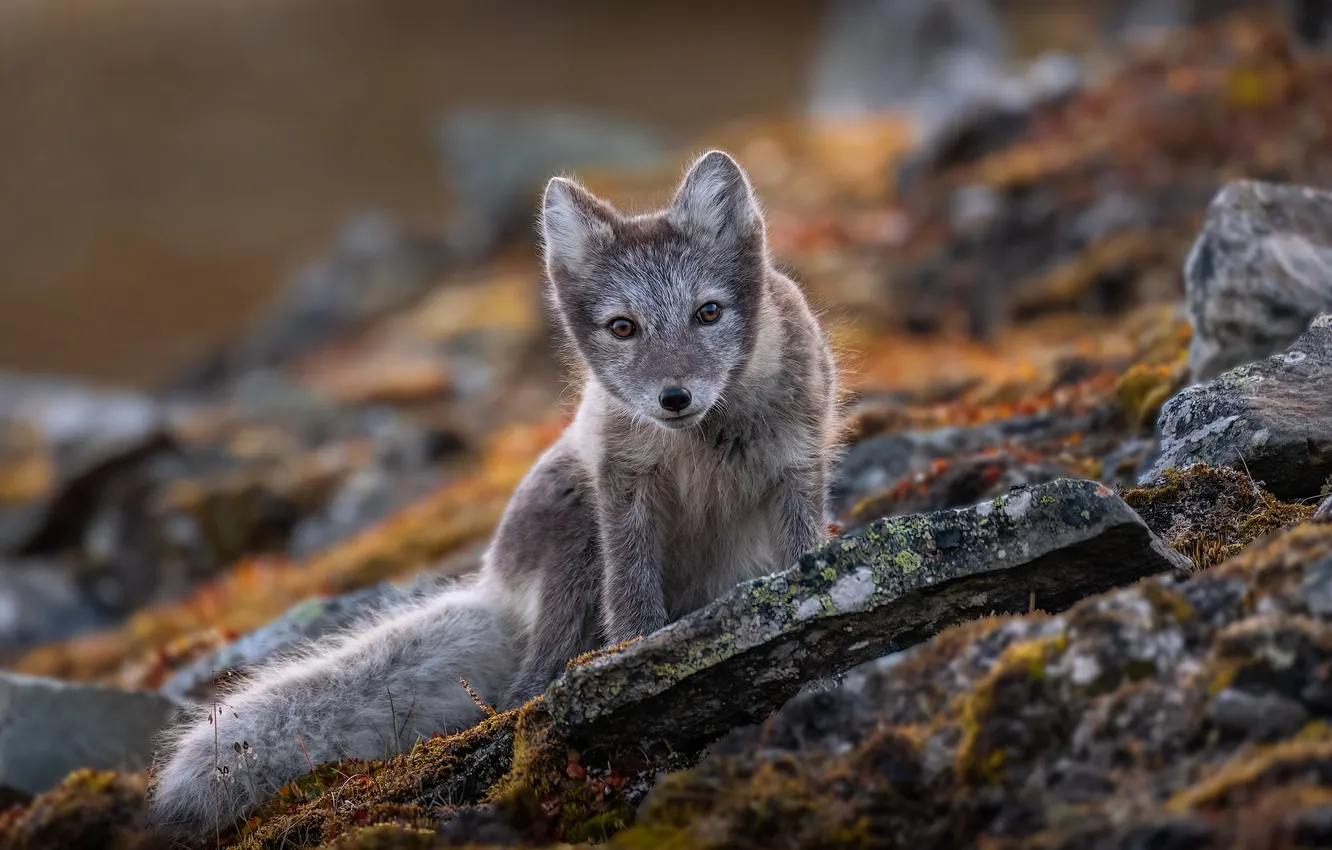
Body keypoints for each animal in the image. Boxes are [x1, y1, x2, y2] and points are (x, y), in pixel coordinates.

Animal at [146, 149, 840, 839]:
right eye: (623, 327)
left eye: (708, 313)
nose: (674, 397)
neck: (705, 440)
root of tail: (495, 587)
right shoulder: (621, 483)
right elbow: (632, 595)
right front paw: (641, 655)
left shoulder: (798, 465)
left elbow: (803, 549)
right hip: (575, 533)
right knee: (522, 689)